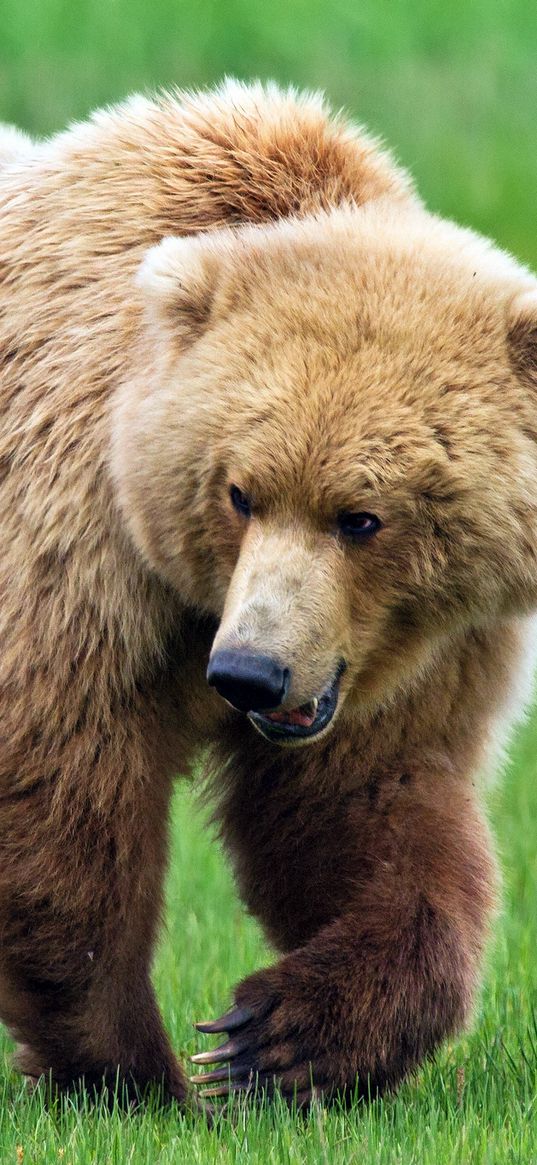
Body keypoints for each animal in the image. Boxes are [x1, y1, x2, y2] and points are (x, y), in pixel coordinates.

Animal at [1, 82, 535, 1109]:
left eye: (361, 516)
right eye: (239, 491)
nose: (249, 673)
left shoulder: (405, 653)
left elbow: (365, 807)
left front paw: (276, 1038)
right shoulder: (78, 547)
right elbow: (62, 788)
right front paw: (137, 1068)